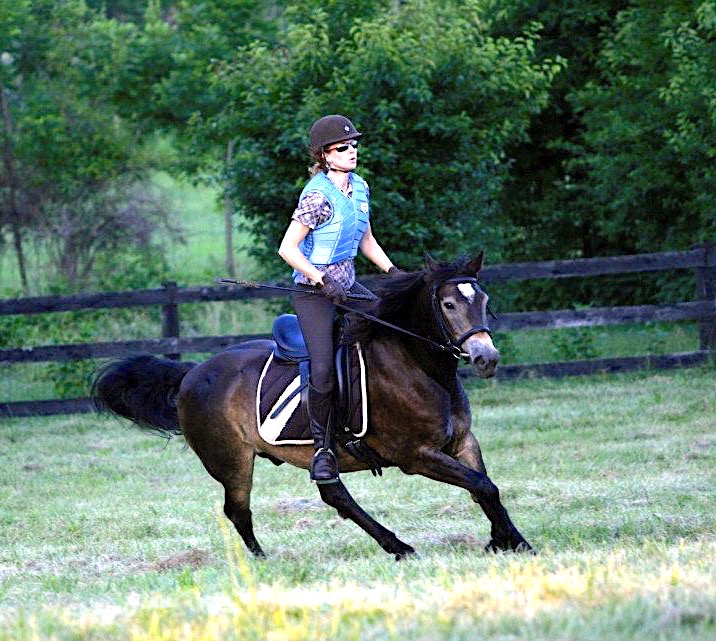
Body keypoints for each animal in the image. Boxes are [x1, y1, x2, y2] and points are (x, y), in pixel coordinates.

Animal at [92, 252, 532, 556]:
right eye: (448, 304)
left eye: (482, 299)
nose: (486, 358)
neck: (417, 364)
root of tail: (192, 372)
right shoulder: (416, 455)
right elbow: (482, 485)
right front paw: (509, 542)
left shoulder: (462, 442)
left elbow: (485, 488)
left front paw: (508, 540)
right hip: (232, 461)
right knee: (239, 511)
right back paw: (263, 561)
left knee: (334, 496)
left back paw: (396, 546)